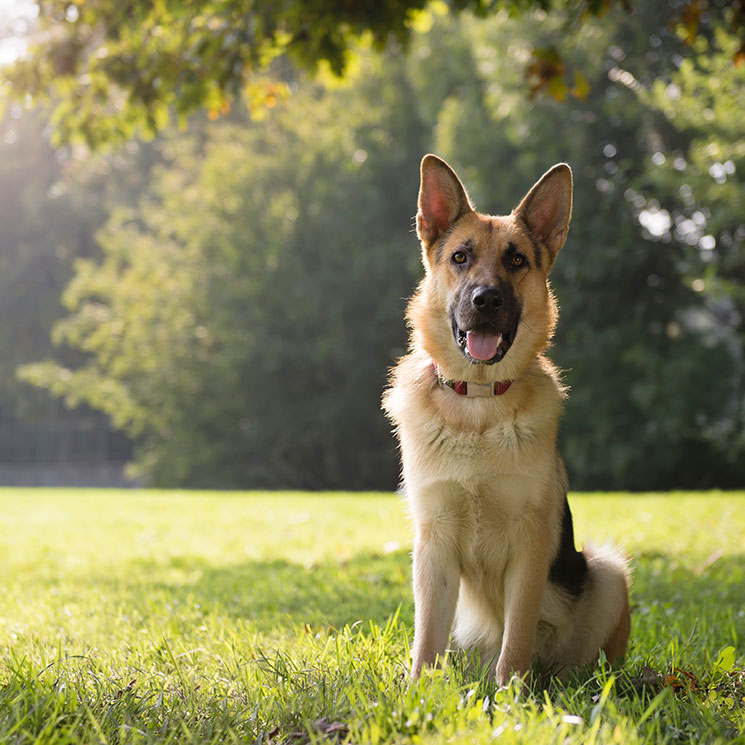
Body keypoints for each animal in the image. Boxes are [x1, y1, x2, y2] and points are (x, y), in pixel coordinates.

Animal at [380, 157, 632, 684]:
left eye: (516, 261)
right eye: (460, 257)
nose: (486, 300)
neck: (478, 405)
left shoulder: (530, 545)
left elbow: (516, 635)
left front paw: (512, 692)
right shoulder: (433, 545)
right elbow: (426, 639)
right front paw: (418, 690)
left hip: (608, 572)